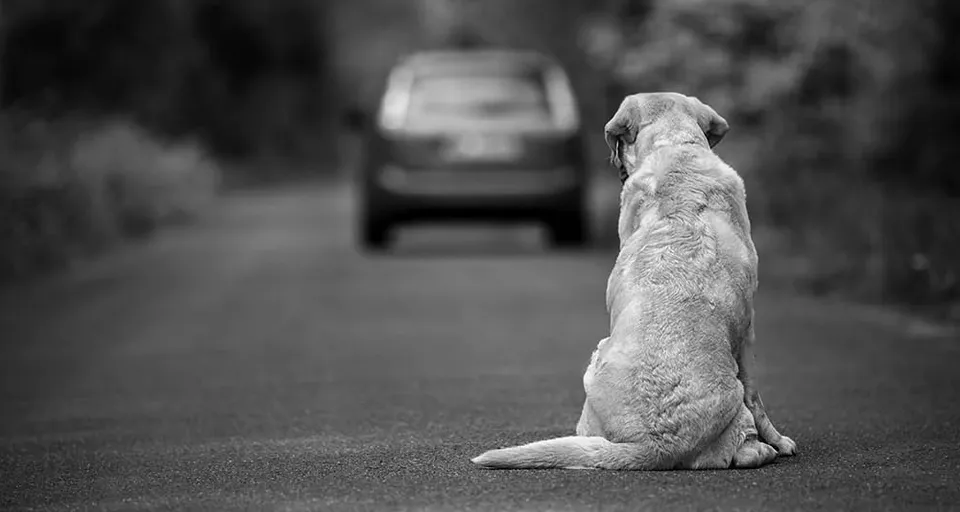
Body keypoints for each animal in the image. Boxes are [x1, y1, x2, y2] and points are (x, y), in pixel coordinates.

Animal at [470, 93, 796, 472]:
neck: (675, 146)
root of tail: (657, 445)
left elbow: (756, 396)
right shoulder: (748, 329)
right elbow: (756, 396)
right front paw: (779, 441)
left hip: (595, 360)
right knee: (746, 442)